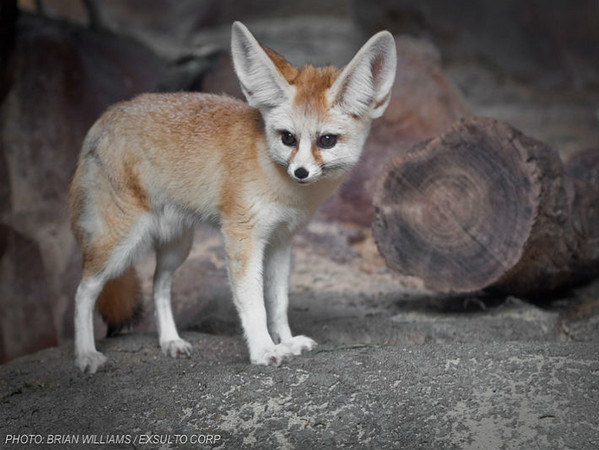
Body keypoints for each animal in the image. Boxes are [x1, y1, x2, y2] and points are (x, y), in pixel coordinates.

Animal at [70, 21, 396, 372]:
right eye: (288, 138)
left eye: (326, 140)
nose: (300, 172)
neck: (282, 188)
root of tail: (106, 117)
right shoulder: (243, 237)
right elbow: (253, 303)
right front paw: (264, 350)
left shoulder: (281, 241)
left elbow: (278, 301)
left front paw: (286, 341)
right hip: (121, 245)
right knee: (83, 291)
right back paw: (86, 354)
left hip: (176, 247)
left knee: (159, 285)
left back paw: (169, 341)